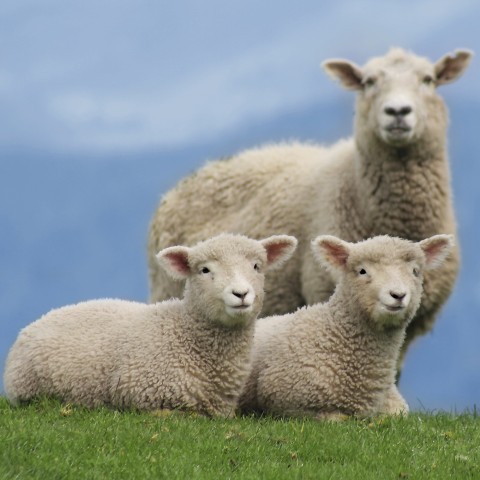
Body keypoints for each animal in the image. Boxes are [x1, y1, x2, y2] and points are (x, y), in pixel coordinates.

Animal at [2, 233, 296, 416]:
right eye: (204, 270)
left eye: (257, 266)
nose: (241, 293)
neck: (185, 334)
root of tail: (33, 324)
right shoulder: (146, 396)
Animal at [240, 233, 454, 420]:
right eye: (362, 271)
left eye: (415, 271)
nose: (398, 295)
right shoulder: (287, 403)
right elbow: (336, 418)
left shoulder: (394, 405)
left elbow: (398, 413)